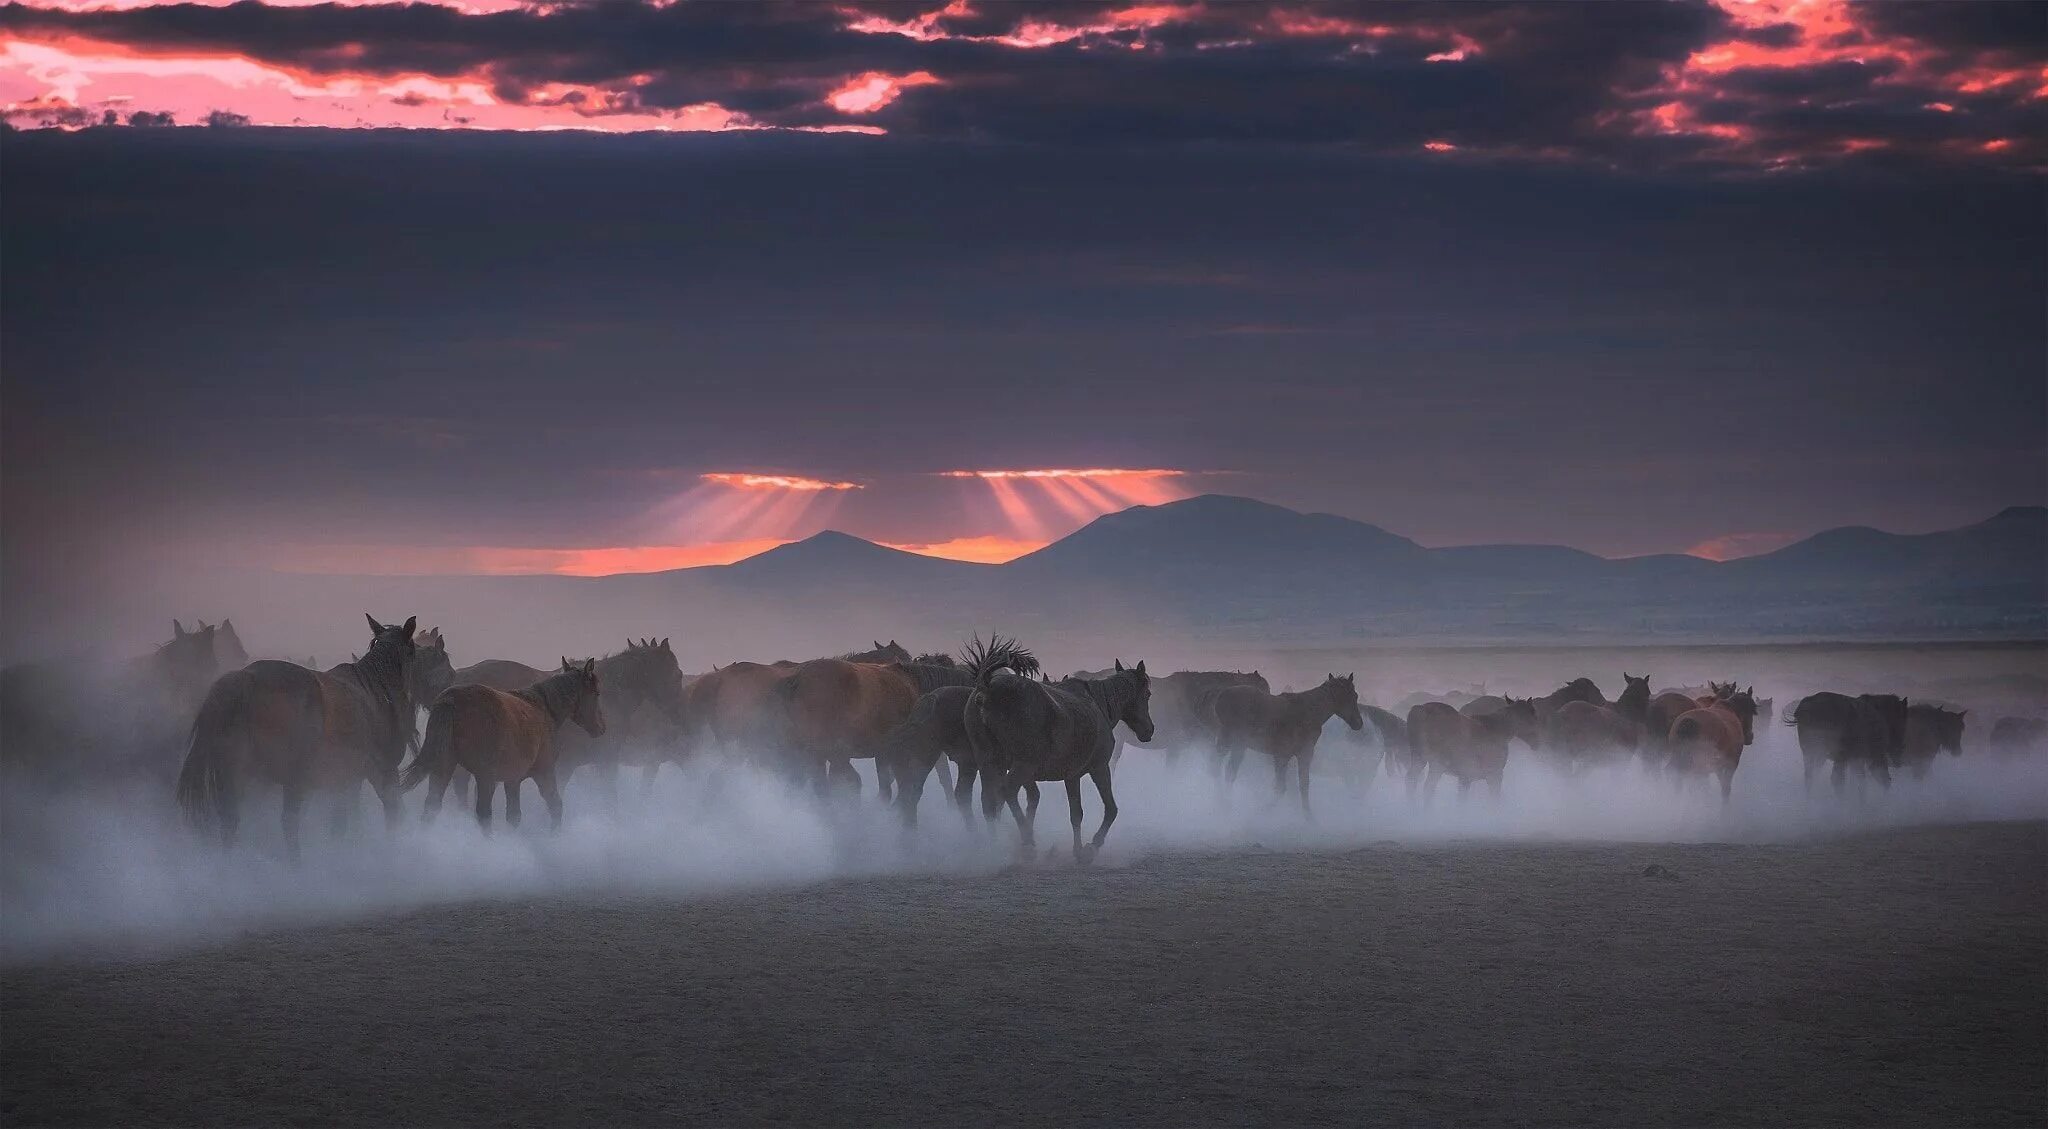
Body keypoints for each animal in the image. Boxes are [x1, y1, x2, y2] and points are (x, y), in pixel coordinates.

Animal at [179, 614, 423, 860]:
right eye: (413, 652)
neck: (376, 692)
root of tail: (246, 679)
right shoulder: (383, 772)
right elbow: (393, 814)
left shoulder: (347, 779)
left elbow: (342, 821)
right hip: (292, 779)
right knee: (289, 823)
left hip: (237, 775)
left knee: (231, 821)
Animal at [401, 655, 606, 831]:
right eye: (596, 693)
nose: (601, 728)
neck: (543, 708)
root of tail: (451, 699)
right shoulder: (544, 773)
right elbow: (555, 805)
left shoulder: (512, 780)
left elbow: (514, 816)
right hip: (485, 777)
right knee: (483, 813)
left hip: (444, 768)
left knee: (432, 806)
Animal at [962, 635, 1155, 864]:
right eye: (1148, 694)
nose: (1149, 730)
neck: (1098, 704)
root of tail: (987, 688)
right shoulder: (1099, 768)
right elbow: (1110, 809)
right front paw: (1091, 847)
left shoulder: (1071, 776)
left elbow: (1076, 814)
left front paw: (1078, 850)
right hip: (1022, 766)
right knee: (1006, 792)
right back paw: (1026, 842)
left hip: (990, 763)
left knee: (989, 802)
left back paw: (994, 847)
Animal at [1204, 676, 1368, 815]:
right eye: (1350, 696)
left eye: (1355, 696)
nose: (1358, 723)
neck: (1309, 712)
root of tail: (1221, 696)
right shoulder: (1288, 755)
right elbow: (1283, 788)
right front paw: (1263, 812)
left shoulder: (1294, 756)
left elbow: (1300, 786)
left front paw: (1308, 817)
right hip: (1230, 740)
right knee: (1218, 767)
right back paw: (1222, 803)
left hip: (1238, 744)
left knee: (1227, 770)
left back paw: (1224, 803)